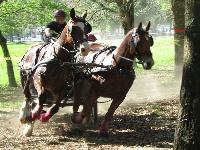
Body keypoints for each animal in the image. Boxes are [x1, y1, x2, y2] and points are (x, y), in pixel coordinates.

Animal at [18, 8, 92, 137]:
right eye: (73, 28)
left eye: (87, 28)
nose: (85, 49)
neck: (58, 58)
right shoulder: (38, 77)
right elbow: (41, 98)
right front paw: (34, 115)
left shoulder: (62, 88)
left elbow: (55, 107)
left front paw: (43, 116)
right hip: (26, 77)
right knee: (28, 97)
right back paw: (25, 117)